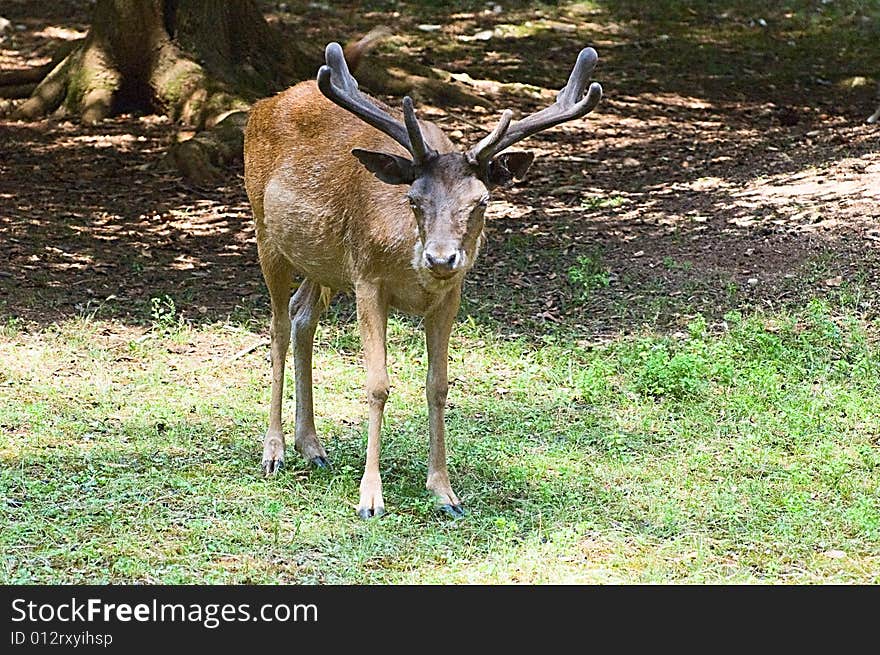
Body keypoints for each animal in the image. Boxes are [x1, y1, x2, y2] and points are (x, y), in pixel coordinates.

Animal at [246, 42, 604, 524]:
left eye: (481, 201)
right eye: (414, 198)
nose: (440, 257)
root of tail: (261, 106)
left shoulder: (449, 296)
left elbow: (438, 385)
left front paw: (444, 492)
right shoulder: (368, 279)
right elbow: (377, 384)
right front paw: (370, 498)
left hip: (324, 265)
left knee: (303, 318)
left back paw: (313, 447)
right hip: (266, 231)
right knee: (278, 327)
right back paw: (275, 451)